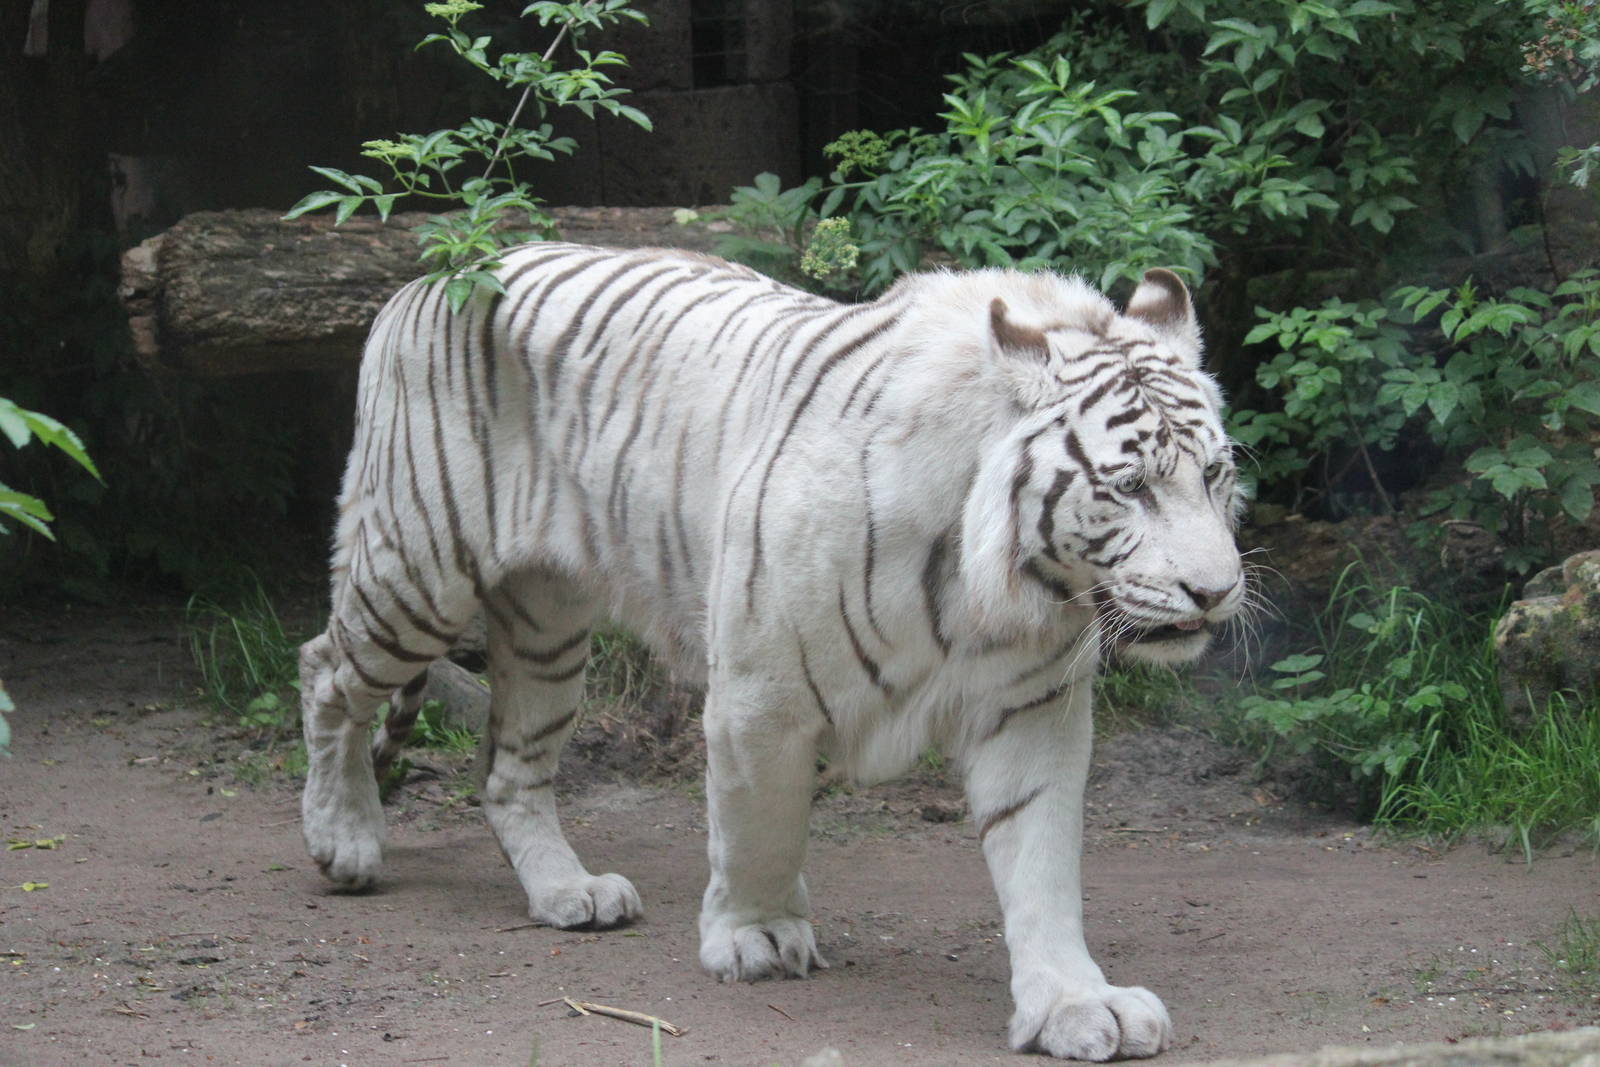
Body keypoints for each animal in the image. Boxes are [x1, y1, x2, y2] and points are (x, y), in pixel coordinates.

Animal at [297, 242, 1247, 1061]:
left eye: (1213, 475)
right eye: (1129, 487)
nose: (1216, 591)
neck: (996, 581)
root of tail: (434, 274)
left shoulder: (1031, 708)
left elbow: (1041, 862)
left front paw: (1072, 1004)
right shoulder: (762, 692)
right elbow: (761, 826)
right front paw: (754, 934)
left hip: (547, 623)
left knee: (508, 767)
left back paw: (570, 892)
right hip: (417, 569)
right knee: (326, 672)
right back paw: (344, 839)